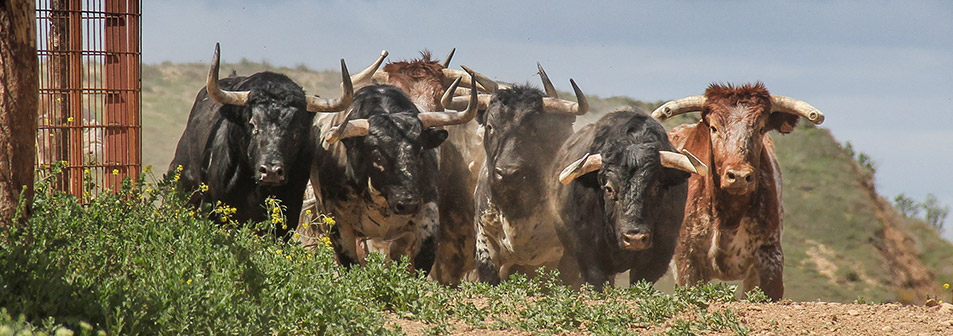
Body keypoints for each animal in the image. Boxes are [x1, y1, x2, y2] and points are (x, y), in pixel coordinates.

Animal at [652, 82, 820, 300]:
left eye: (760, 128)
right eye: (713, 128)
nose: (739, 176)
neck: (728, 213)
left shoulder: (770, 256)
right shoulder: (686, 260)